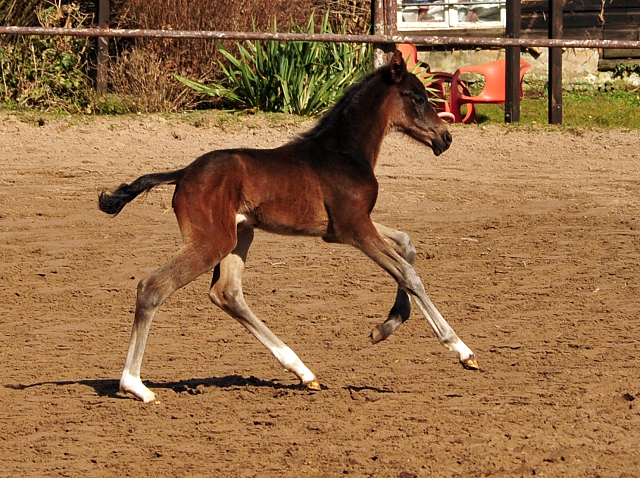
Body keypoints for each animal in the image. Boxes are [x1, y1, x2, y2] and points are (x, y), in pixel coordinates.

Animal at [100, 51, 478, 404]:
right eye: (417, 97)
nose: (446, 137)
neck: (344, 152)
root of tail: (184, 173)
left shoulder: (341, 229)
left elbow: (407, 245)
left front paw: (383, 328)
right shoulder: (353, 227)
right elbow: (407, 273)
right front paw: (460, 349)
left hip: (240, 235)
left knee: (227, 292)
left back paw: (302, 371)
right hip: (212, 241)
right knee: (153, 286)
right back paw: (135, 386)